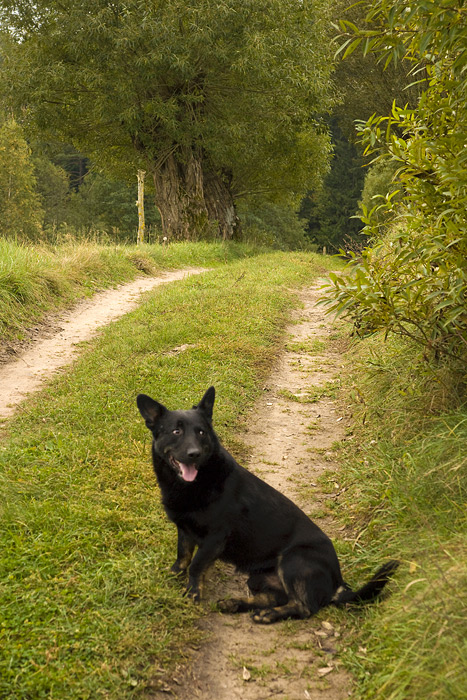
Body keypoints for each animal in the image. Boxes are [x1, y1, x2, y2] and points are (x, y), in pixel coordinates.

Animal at [137, 386, 398, 624]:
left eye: (201, 432)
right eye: (176, 431)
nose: (194, 454)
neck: (197, 482)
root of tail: (338, 583)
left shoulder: (214, 538)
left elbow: (196, 565)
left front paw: (192, 593)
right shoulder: (185, 530)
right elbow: (183, 556)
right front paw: (172, 575)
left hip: (294, 560)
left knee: (304, 607)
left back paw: (269, 615)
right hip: (258, 577)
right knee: (274, 597)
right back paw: (238, 604)